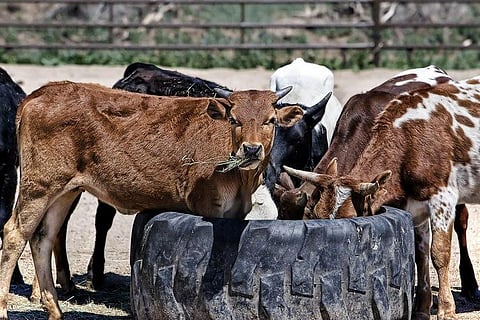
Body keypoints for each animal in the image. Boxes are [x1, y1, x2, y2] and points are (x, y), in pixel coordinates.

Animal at [0, 80, 302, 320]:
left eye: (270, 120)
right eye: (234, 120)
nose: (251, 149)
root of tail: (43, 92)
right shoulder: (208, 206)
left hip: (64, 191)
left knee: (44, 238)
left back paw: (54, 310)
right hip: (39, 186)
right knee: (14, 234)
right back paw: (4, 309)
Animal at [284, 75, 480, 320]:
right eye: (315, 216)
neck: (409, 140)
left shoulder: (442, 198)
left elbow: (439, 253)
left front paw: (446, 308)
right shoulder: (415, 208)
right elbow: (420, 255)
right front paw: (421, 308)